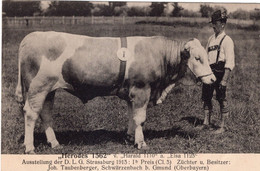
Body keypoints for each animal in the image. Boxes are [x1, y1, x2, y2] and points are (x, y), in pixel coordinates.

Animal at [15, 31, 216, 154]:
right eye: (198, 58)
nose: (213, 80)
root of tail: (30, 37)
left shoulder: (132, 92)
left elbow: (132, 116)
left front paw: (130, 137)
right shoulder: (142, 89)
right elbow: (140, 118)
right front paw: (141, 143)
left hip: (49, 90)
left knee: (46, 114)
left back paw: (54, 143)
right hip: (38, 87)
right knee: (31, 114)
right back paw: (30, 147)